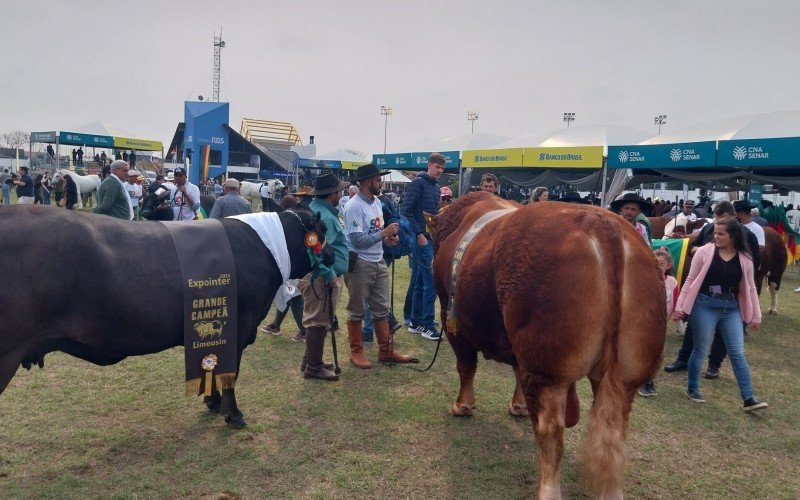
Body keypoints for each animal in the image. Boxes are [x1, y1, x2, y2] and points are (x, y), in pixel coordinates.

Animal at [428, 193, 664, 498]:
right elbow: (515, 371)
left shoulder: (451, 314)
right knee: (615, 427)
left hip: (545, 367)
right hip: (627, 371)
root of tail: (600, 223)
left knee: (550, 429)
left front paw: (462, 406)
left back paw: (548, 489)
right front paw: (517, 406)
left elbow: (465, 365)